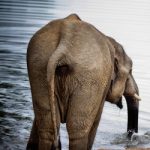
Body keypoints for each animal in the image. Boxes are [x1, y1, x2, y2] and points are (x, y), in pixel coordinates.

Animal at [26, 13, 141, 149]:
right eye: (131, 70)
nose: (131, 135)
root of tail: (64, 44)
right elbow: (96, 120)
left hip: (39, 66)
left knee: (47, 127)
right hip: (88, 77)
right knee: (78, 130)